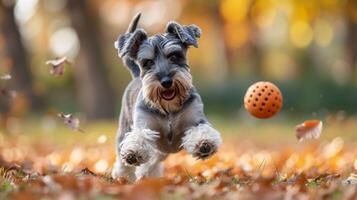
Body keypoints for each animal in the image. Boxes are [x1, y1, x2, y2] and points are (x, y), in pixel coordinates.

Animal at [111, 13, 221, 182]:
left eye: (174, 56)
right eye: (148, 62)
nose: (166, 82)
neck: (168, 109)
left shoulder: (196, 120)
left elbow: (201, 130)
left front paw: (204, 143)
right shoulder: (144, 125)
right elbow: (139, 137)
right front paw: (133, 152)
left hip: (160, 152)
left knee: (151, 164)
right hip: (125, 129)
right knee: (124, 157)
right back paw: (124, 175)